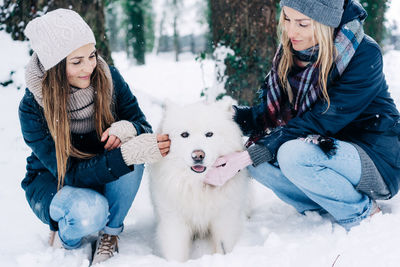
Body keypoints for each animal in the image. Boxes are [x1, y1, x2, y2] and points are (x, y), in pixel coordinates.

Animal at [149, 100, 250, 262]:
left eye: (209, 134)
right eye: (184, 135)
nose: (198, 155)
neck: (197, 185)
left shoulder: (224, 219)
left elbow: (223, 246)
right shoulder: (174, 221)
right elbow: (176, 252)